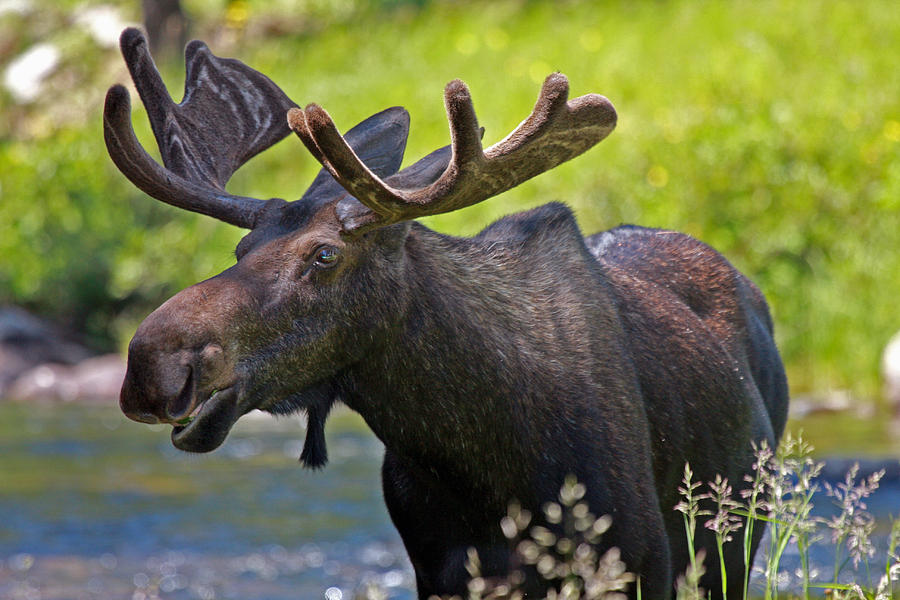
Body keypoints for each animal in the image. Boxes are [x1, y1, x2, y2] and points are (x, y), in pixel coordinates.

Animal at [107, 28, 788, 600]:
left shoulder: (641, 561)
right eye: (241, 249)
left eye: (324, 255)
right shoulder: (440, 573)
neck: (484, 461)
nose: (151, 364)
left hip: (732, 542)